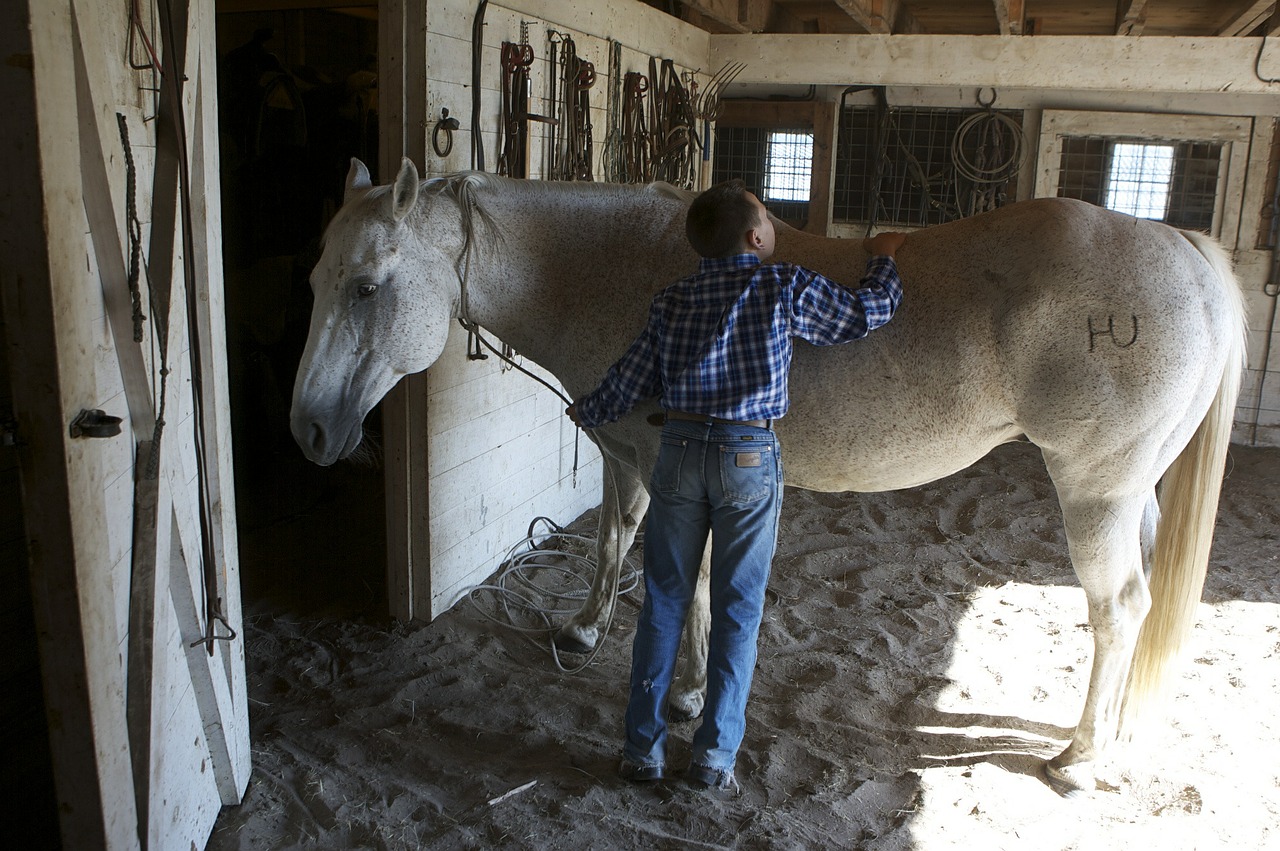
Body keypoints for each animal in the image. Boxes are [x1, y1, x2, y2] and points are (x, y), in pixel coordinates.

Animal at [293, 159, 1249, 798]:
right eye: (316, 278)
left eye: (368, 286)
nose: (310, 429)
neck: (612, 265)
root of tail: (1185, 250)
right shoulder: (625, 454)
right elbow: (613, 537)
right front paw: (587, 628)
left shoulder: (667, 463)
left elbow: (679, 575)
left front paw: (681, 694)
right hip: (1134, 494)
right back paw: (1111, 732)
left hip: (1097, 493)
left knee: (1119, 607)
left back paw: (1081, 758)